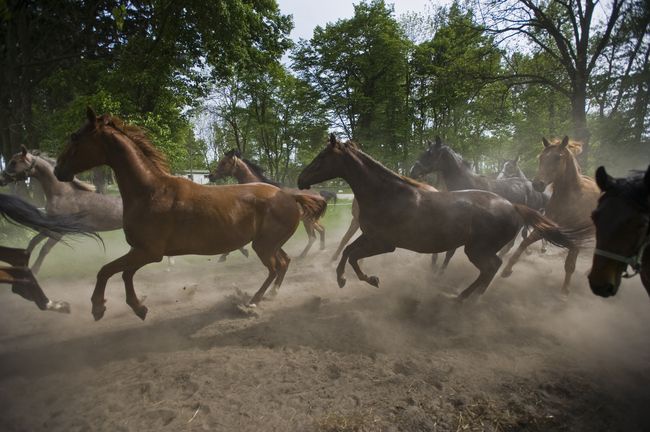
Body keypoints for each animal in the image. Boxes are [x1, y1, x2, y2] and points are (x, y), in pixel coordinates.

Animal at [53, 107, 324, 320]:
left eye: (75, 137)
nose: (58, 170)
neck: (150, 192)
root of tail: (289, 196)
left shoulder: (149, 252)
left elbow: (107, 271)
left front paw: (99, 307)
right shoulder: (140, 251)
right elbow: (125, 274)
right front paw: (138, 307)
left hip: (264, 246)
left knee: (275, 267)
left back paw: (254, 299)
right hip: (270, 243)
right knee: (284, 262)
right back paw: (271, 294)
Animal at [298, 135, 576, 300]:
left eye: (322, 157)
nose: (301, 179)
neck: (387, 194)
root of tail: (514, 206)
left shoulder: (383, 243)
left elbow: (354, 256)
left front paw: (368, 279)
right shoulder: (370, 237)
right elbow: (347, 251)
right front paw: (344, 278)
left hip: (477, 250)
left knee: (492, 267)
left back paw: (463, 297)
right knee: (494, 266)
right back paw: (470, 295)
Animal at [498, 138, 600, 294]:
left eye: (558, 157)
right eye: (540, 158)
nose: (537, 184)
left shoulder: (577, 239)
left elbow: (570, 265)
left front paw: (565, 291)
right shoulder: (543, 227)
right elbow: (523, 242)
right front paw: (506, 269)